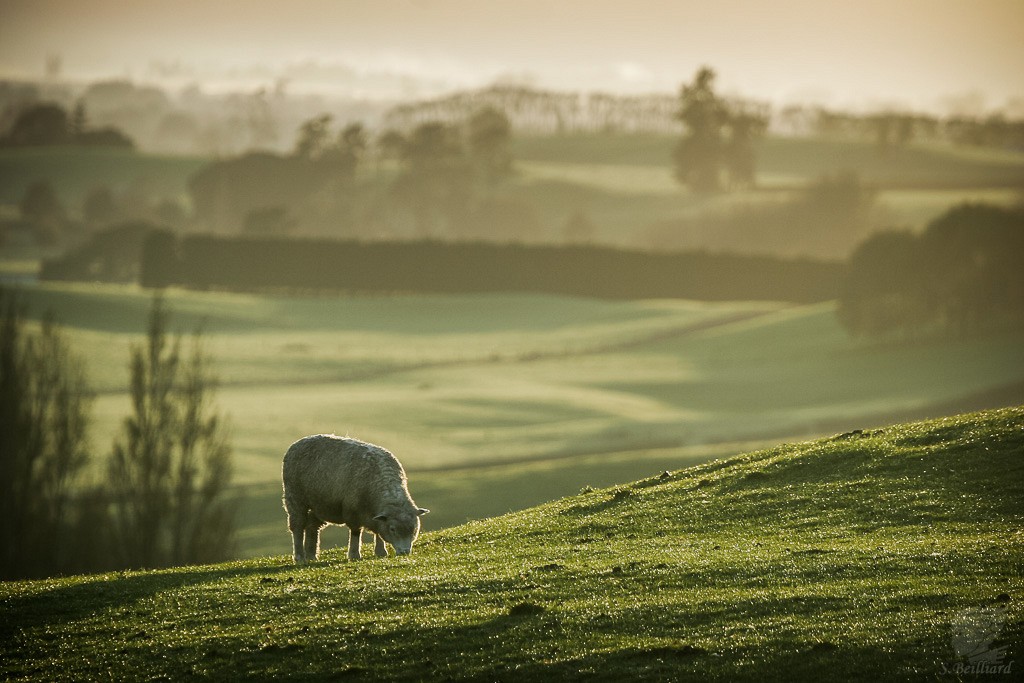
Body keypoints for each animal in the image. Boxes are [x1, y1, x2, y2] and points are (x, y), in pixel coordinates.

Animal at [280, 436, 428, 565]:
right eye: (392, 529)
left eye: (414, 528)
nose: (404, 552)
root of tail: (297, 443)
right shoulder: (353, 512)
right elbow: (356, 532)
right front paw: (354, 554)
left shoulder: (375, 516)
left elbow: (378, 531)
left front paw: (381, 552)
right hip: (295, 498)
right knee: (298, 527)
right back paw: (300, 557)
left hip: (319, 504)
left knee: (312, 527)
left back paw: (311, 556)